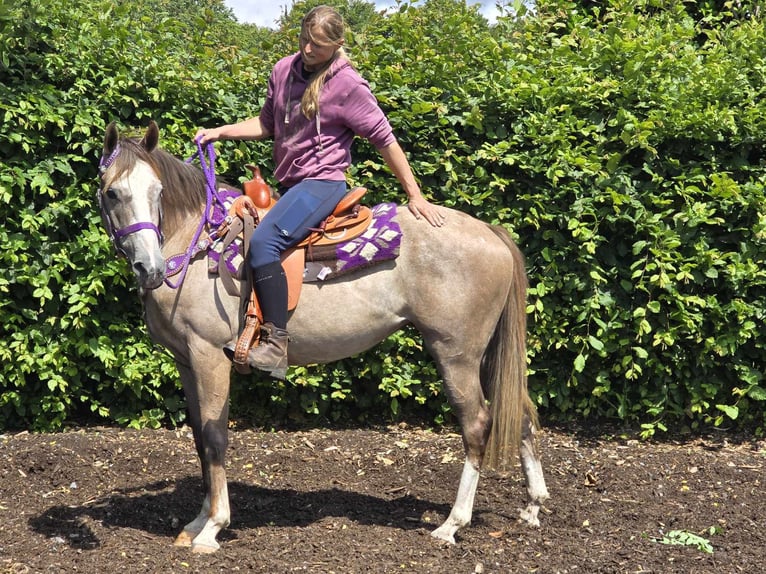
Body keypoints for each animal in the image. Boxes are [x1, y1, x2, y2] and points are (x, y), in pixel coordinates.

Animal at [97, 122, 552, 560]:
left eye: (157, 192)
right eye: (113, 192)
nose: (150, 267)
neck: (198, 244)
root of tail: (490, 232)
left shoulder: (210, 357)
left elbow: (214, 437)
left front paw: (213, 528)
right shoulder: (186, 361)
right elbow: (198, 439)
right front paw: (196, 522)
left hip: (456, 354)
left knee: (476, 425)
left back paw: (452, 524)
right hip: (487, 355)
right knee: (521, 414)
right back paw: (532, 506)